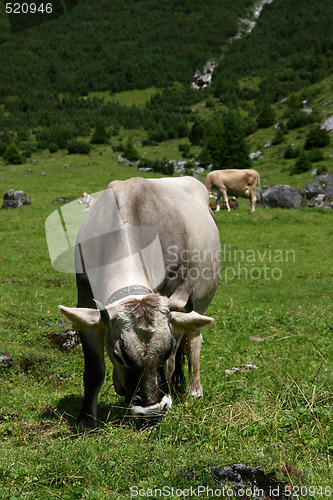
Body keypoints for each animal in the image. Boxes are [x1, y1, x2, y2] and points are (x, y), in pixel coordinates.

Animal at [59, 176, 220, 430]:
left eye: (165, 349)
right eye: (119, 355)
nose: (151, 413)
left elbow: (173, 360)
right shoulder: (85, 301)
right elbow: (94, 371)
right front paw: (86, 421)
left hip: (201, 302)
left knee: (194, 341)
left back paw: (194, 389)